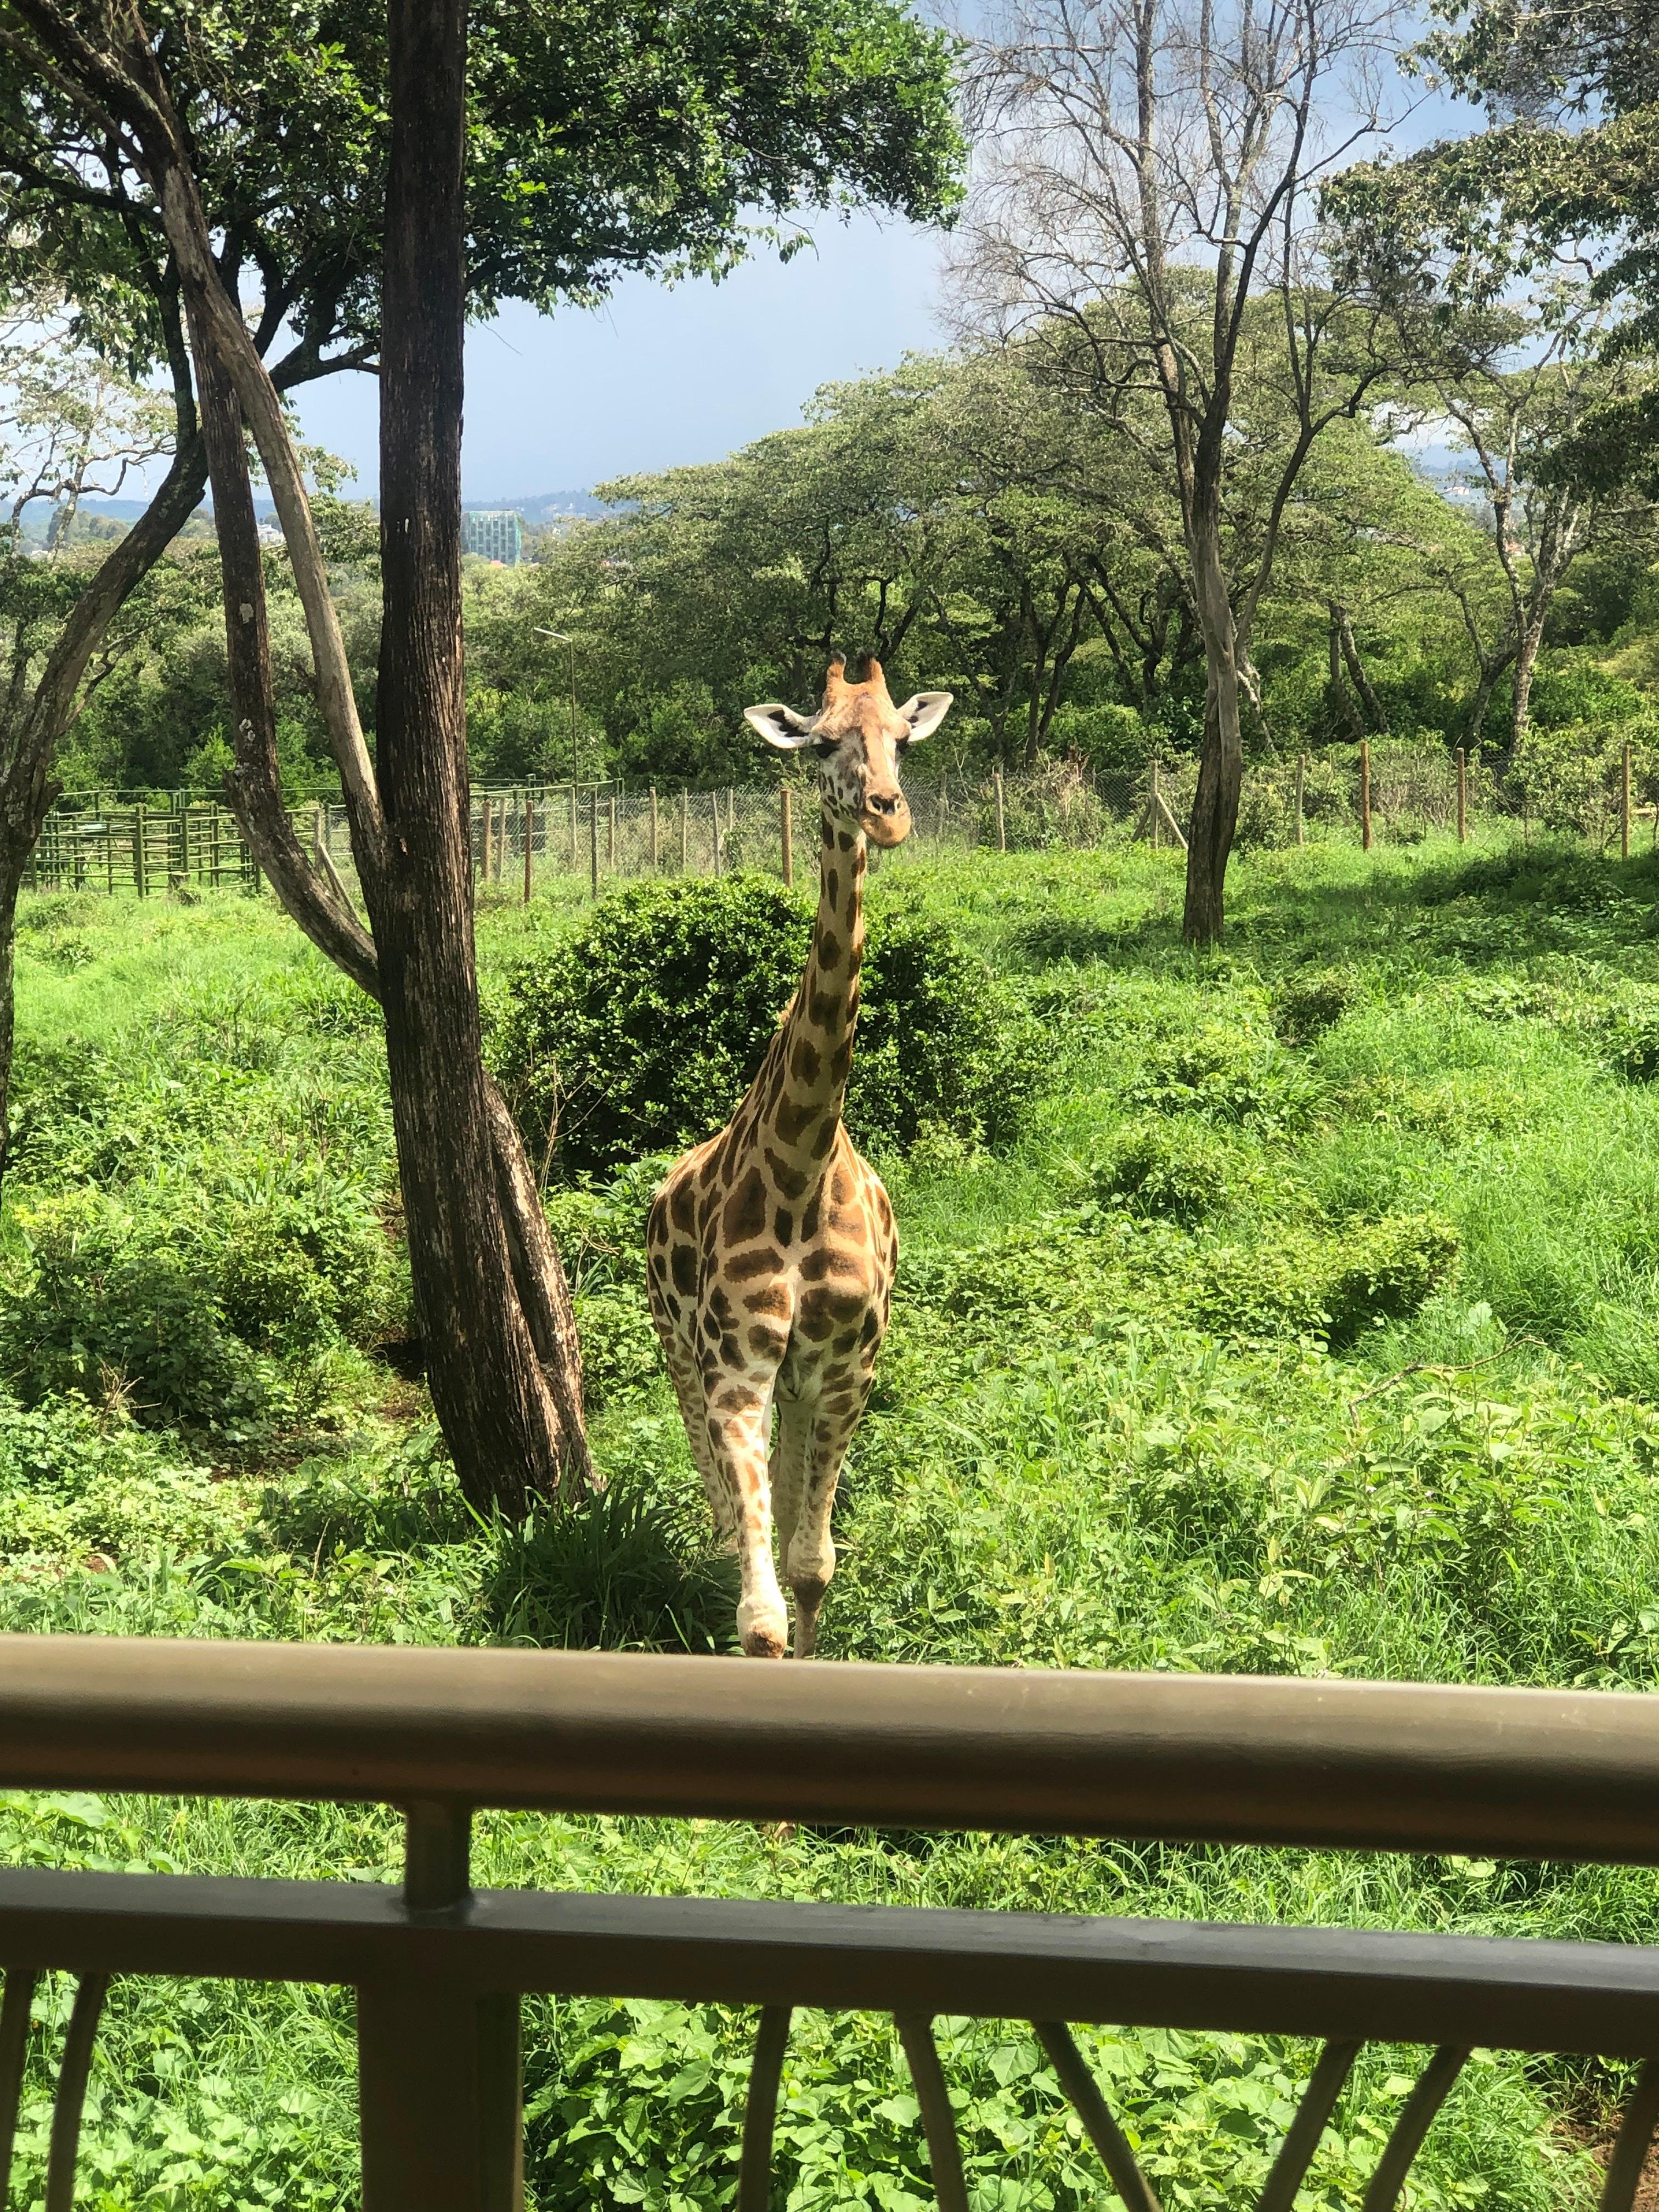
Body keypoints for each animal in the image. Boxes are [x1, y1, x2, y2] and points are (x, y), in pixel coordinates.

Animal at [645, 654, 954, 1657]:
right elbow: (761, 1617)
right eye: (821, 744)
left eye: (900, 737)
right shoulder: (734, 1370)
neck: (802, 1166)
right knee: (718, 1504)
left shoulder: (845, 1368)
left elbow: (811, 1567)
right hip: (676, 1347)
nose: (886, 812)